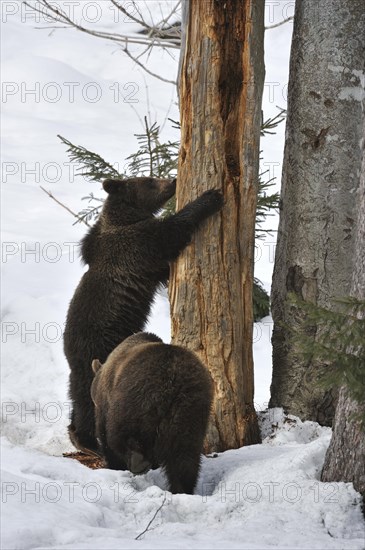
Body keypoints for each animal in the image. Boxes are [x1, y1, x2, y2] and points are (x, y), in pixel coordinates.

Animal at [62, 178, 222, 458]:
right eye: (148, 181)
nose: (173, 180)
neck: (125, 218)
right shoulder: (137, 244)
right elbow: (171, 231)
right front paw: (210, 197)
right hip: (99, 347)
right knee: (88, 398)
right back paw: (90, 443)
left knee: (76, 394)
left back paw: (78, 437)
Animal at [90, 332, 213, 496]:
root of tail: (173, 383)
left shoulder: (106, 404)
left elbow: (105, 437)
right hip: (191, 411)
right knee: (185, 458)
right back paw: (182, 489)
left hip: (134, 399)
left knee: (120, 434)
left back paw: (138, 462)